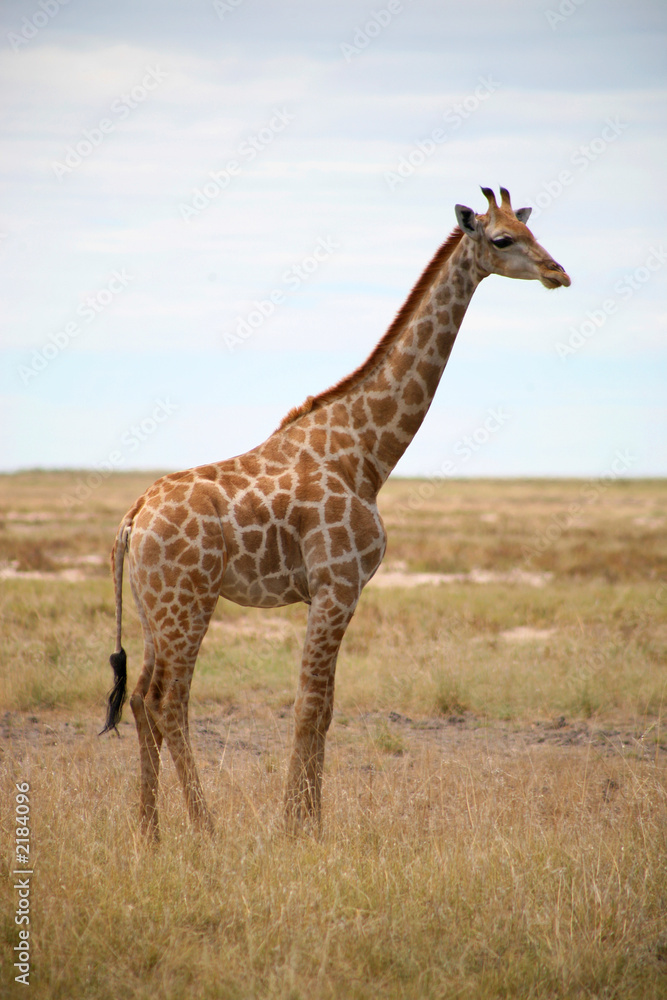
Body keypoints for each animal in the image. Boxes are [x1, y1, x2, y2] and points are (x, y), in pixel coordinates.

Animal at [102, 186, 572, 836]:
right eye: (503, 240)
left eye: (533, 231)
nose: (559, 273)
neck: (367, 454)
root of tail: (134, 517)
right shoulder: (336, 585)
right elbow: (308, 708)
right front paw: (297, 828)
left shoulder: (337, 592)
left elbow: (323, 710)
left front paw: (308, 821)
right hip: (187, 602)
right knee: (169, 702)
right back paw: (205, 829)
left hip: (155, 607)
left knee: (142, 698)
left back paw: (149, 833)